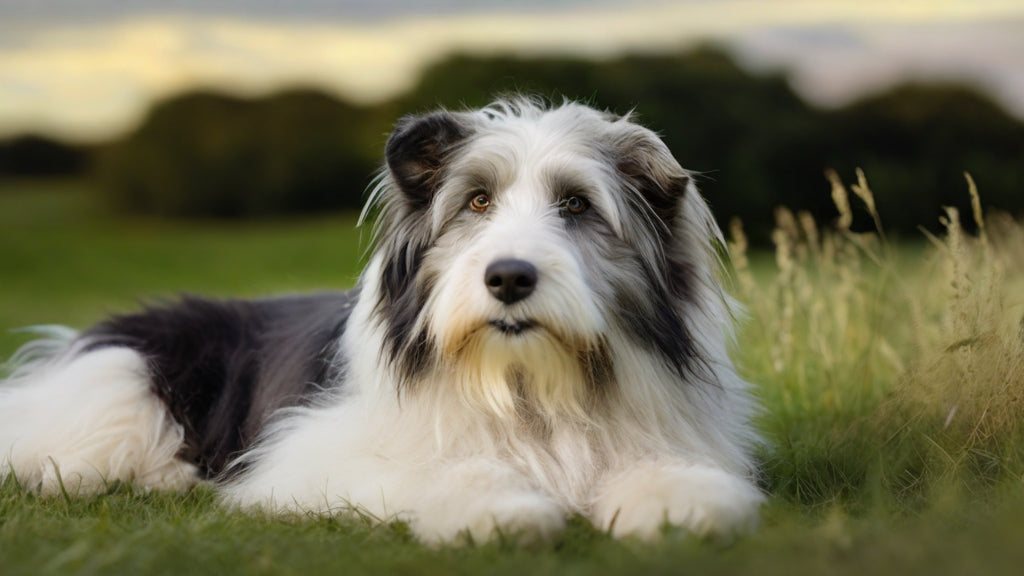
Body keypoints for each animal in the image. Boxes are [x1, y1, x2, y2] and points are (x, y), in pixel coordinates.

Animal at [0, 97, 765, 541]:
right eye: (478, 201)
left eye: (576, 204)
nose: (509, 278)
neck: (525, 384)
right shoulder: (313, 455)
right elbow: (438, 471)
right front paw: (502, 508)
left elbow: (674, 477)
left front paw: (673, 503)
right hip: (122, 387)